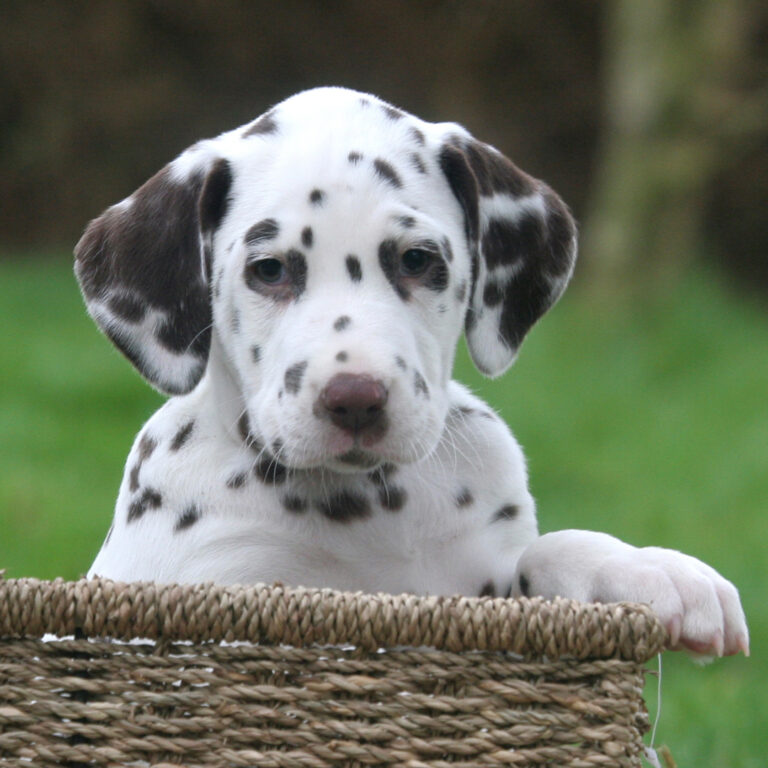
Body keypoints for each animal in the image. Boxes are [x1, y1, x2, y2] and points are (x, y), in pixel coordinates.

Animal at [78, 85, 752, 660]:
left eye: (416, 260)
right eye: (269, 270)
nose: (355, 399)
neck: (374, 508)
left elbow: (546, 549)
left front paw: (650, 569)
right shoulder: (219, 590)